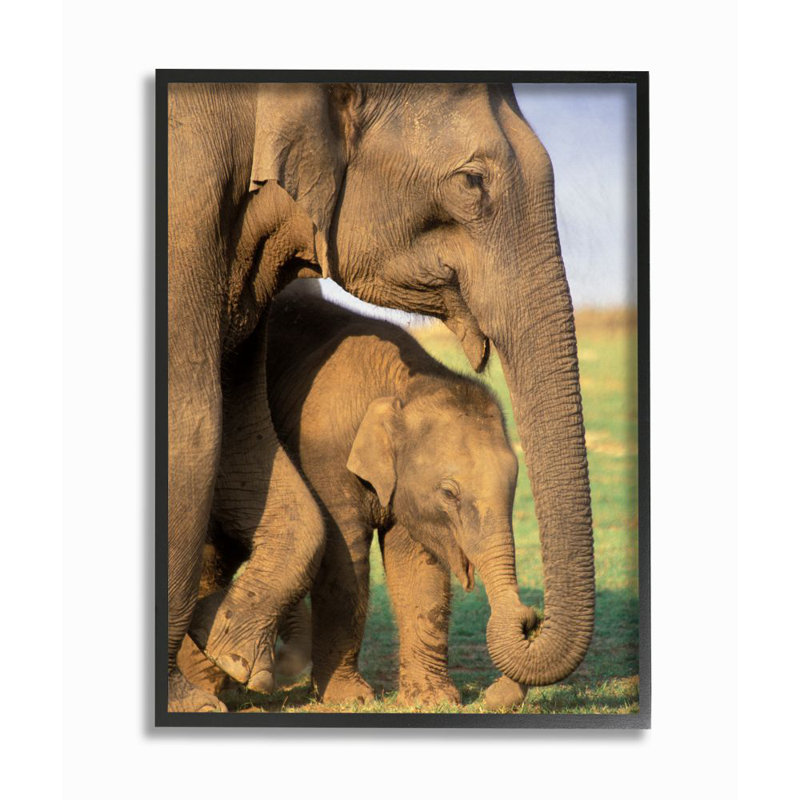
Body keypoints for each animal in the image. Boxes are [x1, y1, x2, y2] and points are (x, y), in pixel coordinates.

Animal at [167, 81, 594, 712]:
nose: (529, 618)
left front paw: (433, 702)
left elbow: (248, 438)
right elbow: (200, 428)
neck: (404, 381)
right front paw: (338, 698)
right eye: (472, 182)